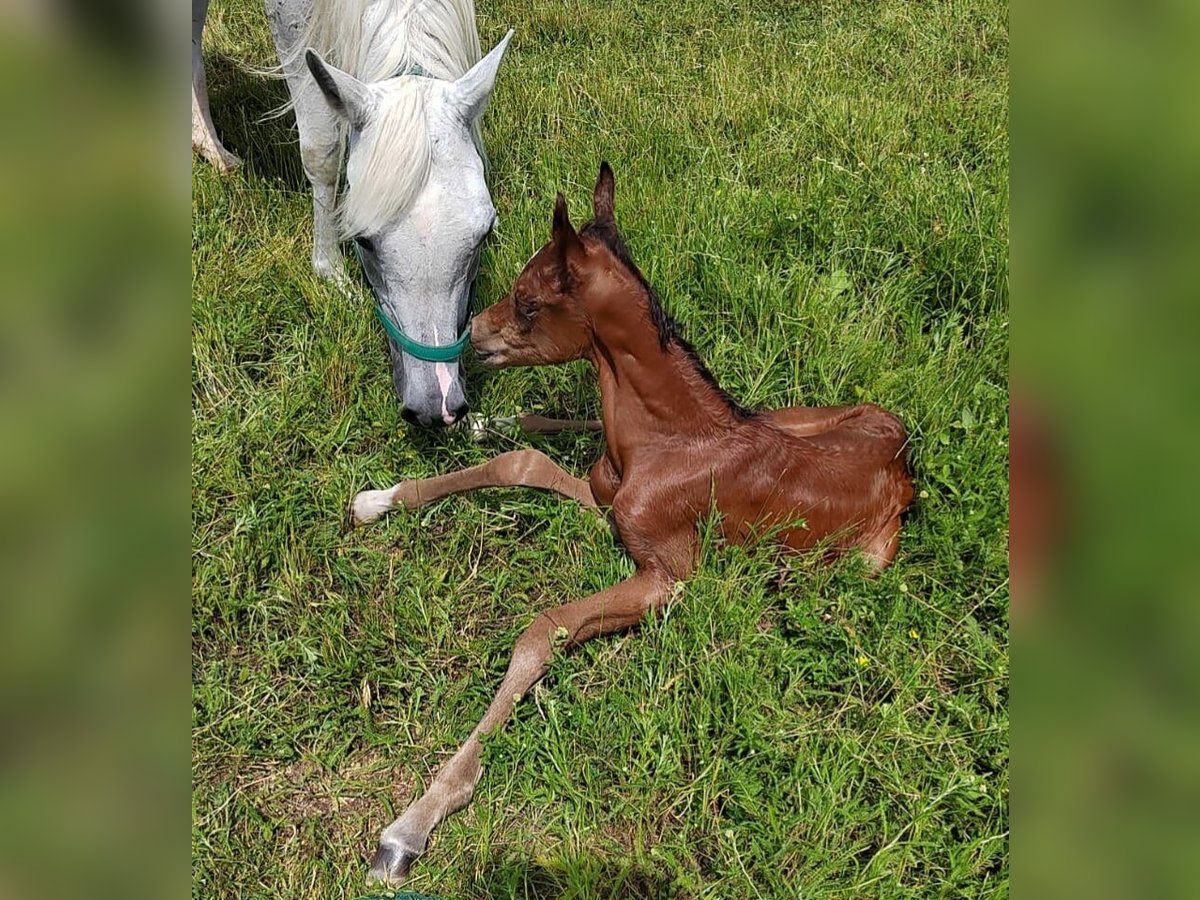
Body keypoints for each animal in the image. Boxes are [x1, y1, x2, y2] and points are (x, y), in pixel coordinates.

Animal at [350, 164, 912, 888]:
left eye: (529, 301)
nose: (472, 334)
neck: (665, 440)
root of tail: (903, 462)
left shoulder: (666, 578)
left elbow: (544, 630)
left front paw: (411, 825)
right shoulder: (606, 502)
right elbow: (522, 461)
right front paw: (379, 498)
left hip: (861, 561)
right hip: (791, 414)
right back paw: (482, 426)